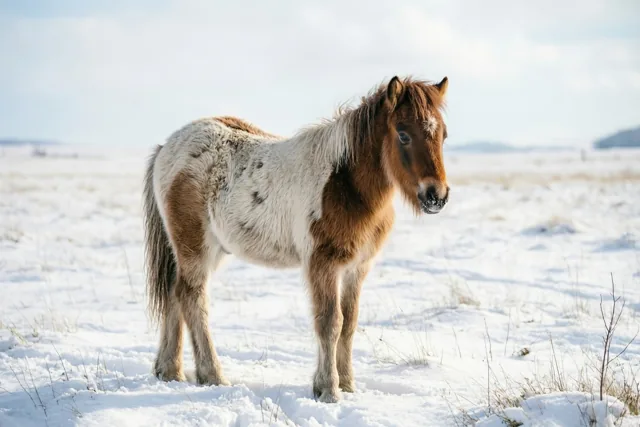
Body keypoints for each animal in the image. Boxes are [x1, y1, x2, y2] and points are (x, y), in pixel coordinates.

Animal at [142, 75, 450, 403]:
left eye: (443, 135)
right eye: (403, 134)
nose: (436, 196)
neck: (345, 184)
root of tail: (166, 147)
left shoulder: (357, 268)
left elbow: (350, 323)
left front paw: (348, 385)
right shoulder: (322, 264)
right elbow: (330, 323)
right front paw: (328, 390)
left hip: (203, 250)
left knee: (174, 293)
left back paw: (170, 371)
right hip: (196, 246)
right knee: (192, 297)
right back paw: (212, 375)